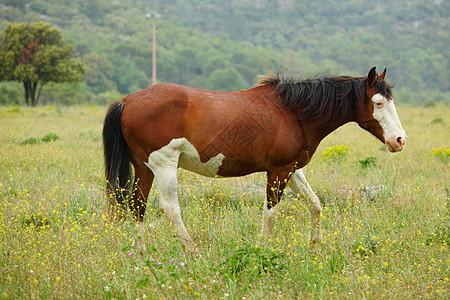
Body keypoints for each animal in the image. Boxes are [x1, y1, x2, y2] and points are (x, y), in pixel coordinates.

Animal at [103, 67, 408, 256]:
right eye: (378, 102)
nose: (399, 140)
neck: (293, 112)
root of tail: (126, 101)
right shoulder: (278, 171)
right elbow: (270, 213)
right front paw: (263, 249)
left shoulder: (292, 170)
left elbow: (315, 204)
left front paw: (315, 246)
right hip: (164, 167)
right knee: (169, 209)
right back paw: (192, 252)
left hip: (145, 169)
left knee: (137, 206)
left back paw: (140, 254)